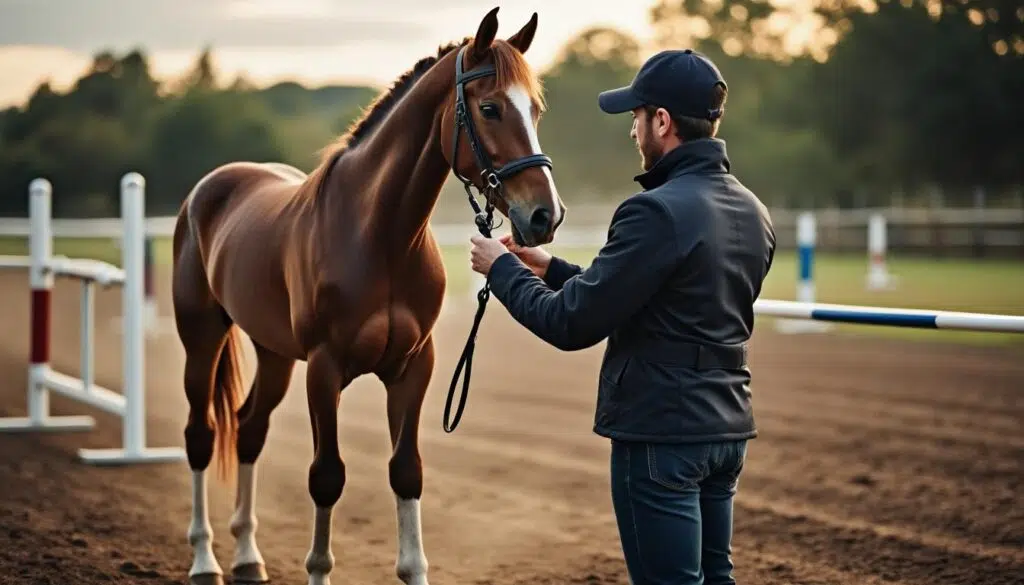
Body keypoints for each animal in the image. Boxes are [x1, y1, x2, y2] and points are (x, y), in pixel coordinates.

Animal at [171, 6, 564, 585]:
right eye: (490, 107)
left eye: (535, 109)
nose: (544, 216)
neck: (380, 237)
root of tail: (209, 188)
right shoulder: (324, 368)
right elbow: (326, 476)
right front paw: (317, 568)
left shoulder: (413, 367)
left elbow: (406, 471)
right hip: (202, 341)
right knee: (200, 434)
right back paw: (204, 559)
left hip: (274, 355)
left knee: (248, 429)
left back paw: (247, 557)